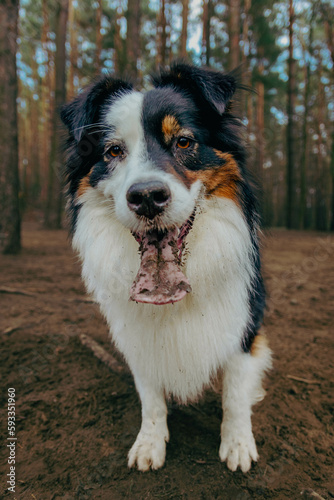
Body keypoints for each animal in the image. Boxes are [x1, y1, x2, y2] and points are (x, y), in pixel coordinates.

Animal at [61, 63, 272, 472]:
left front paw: (238, 443)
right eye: (113, 151)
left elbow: (235, 391)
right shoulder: (136, 335)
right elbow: (150, 397)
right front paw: (150, 442)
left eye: (184, 142)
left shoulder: (244, 323)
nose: (146, 197)